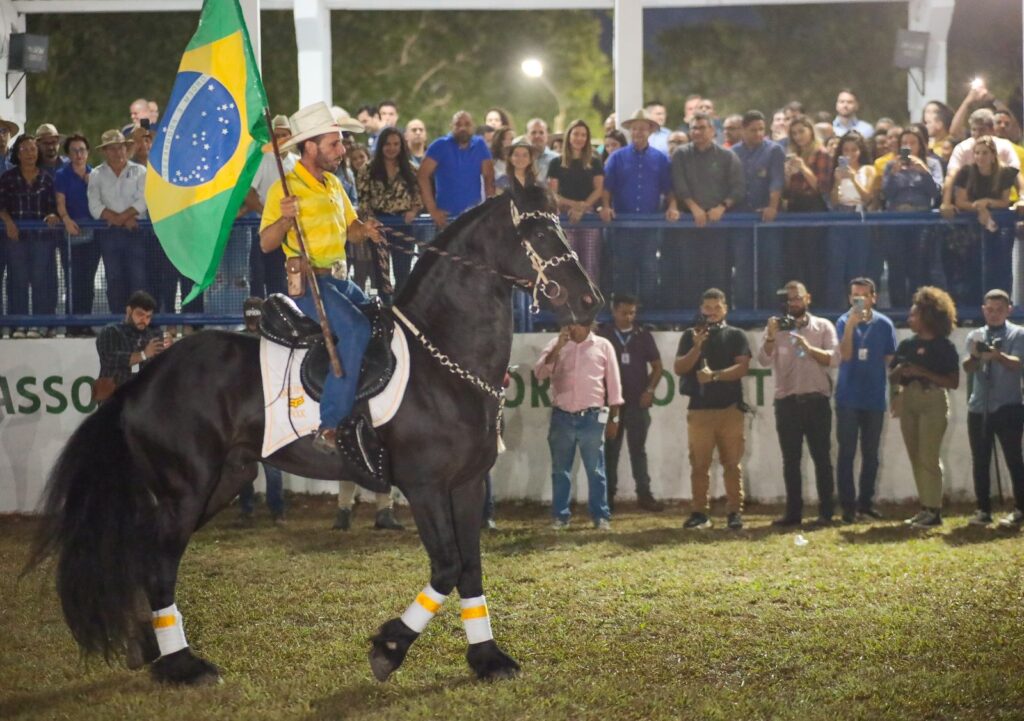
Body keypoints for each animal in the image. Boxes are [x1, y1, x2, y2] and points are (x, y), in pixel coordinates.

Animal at [25, 183, 598, 684]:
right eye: (541, 234)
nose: (589, 301)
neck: (442, 359)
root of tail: (143, 377)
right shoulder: (425, 487)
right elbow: (447, 567)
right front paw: (389, 648)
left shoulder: (467, 485)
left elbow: (471, 571)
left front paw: (487, 659)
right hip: (185, 489)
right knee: (160, 563)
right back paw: (183, 667)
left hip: (222, 482)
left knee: (149, 558)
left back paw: (153, 649)